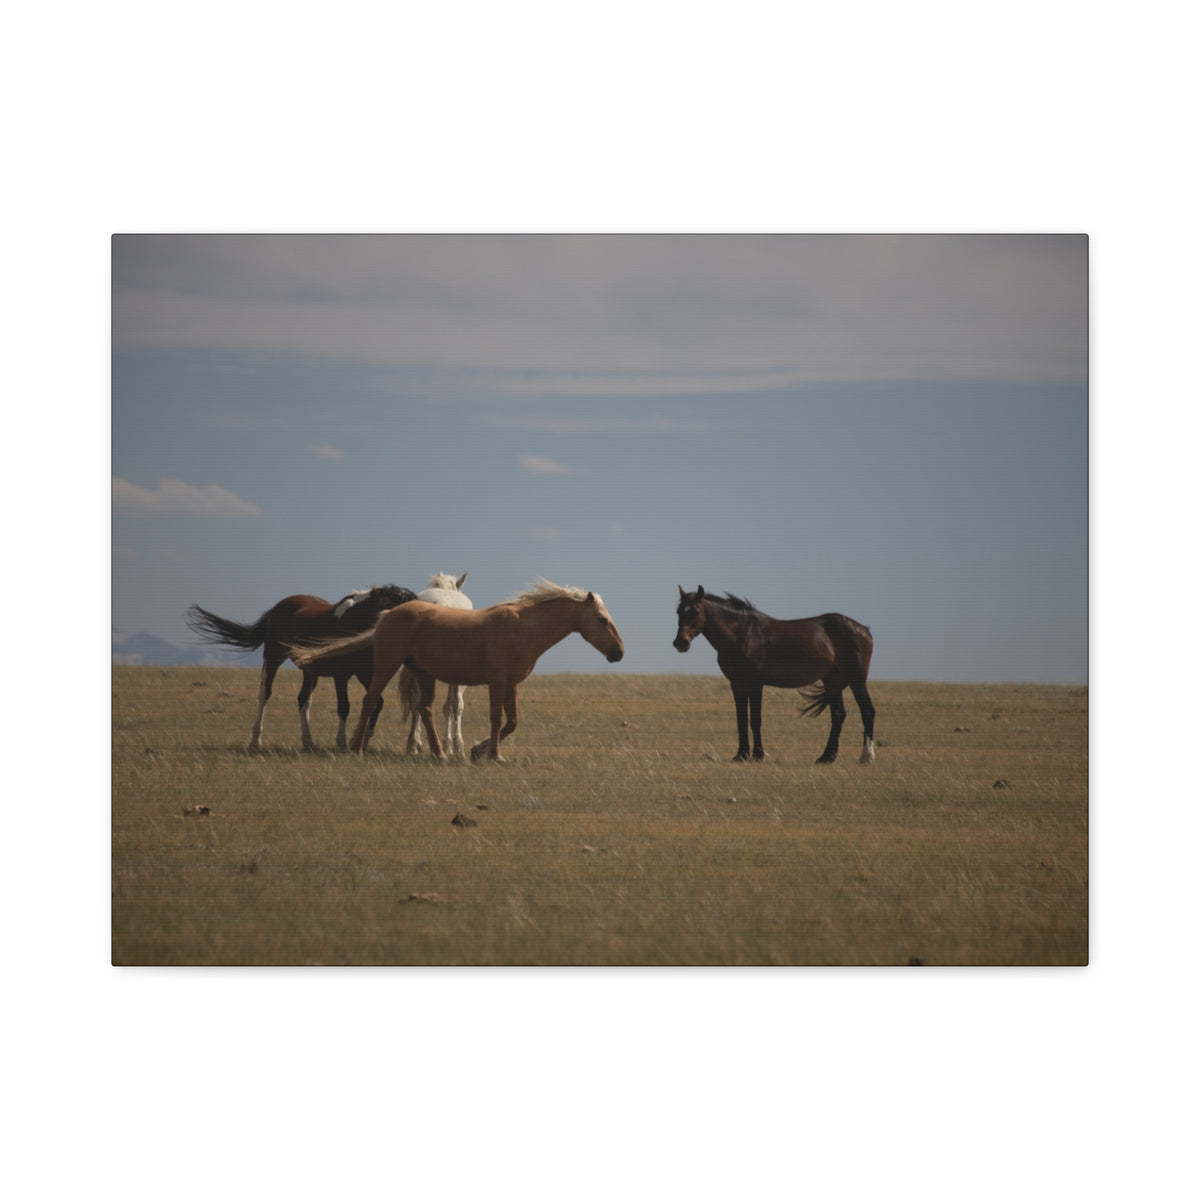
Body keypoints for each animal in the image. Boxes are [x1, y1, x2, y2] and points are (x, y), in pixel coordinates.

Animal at [184, 585, 417, 752]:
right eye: (404, 601)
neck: (353, 620)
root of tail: (277, 607)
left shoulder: (365, 674)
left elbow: (376, 703)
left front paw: (363, 740)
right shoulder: (341, 676)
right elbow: (344, 707)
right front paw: (342, 742)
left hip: (309, 670)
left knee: (303, 700)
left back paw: (308, 742)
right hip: (273, 658)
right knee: (264, 694)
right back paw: (255, 741)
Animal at [673, 586, 876, 765]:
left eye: (695, 612)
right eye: (679, 612)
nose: (680, 643)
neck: (743, 635)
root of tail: (864, 630)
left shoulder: (755, 684)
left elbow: (755, 720)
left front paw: (757, 755)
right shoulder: (737, 684)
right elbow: (741, 719)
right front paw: (741, 755)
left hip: (857, 680)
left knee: (867, 711)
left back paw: (866, 757)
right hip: (832, 681)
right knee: (838, 715)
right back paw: (826, 757)